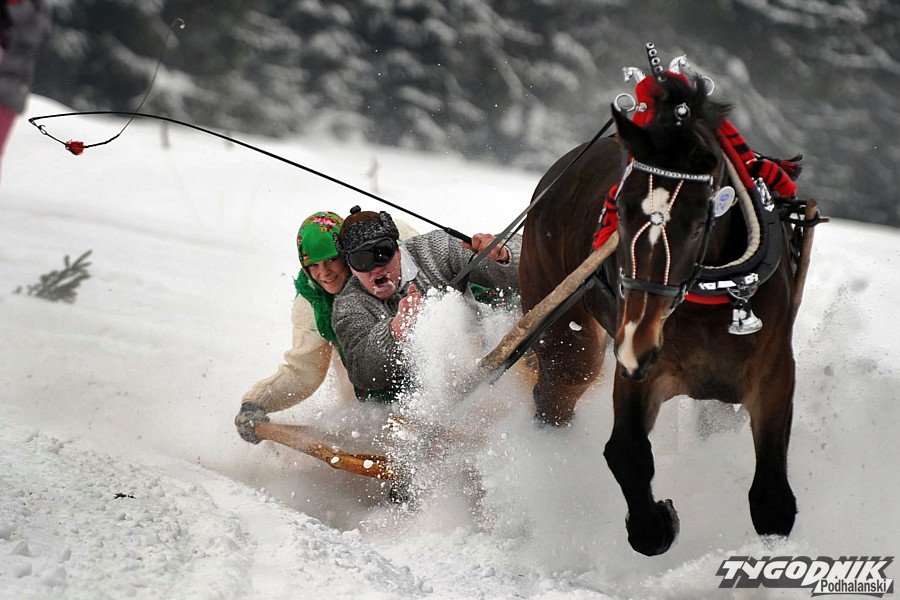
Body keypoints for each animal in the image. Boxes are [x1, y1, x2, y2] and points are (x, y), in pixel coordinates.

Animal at [519, 74, 798, 556]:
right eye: (620, 210)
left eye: (700, 220)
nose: (639, 343)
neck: (711, 292)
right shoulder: (640, 364)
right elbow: (626, 452)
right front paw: (657, 524)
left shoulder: (773, 370)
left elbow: (771, 500)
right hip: (561, 325)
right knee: (557, 391)